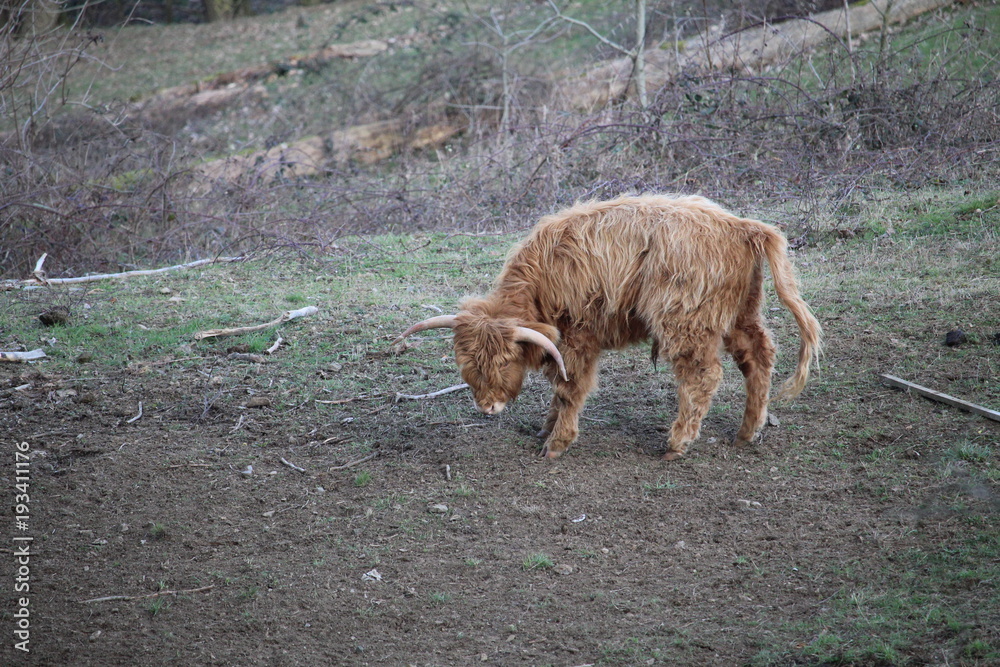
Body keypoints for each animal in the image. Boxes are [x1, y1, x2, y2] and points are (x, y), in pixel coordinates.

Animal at [394, 194, 821, 460]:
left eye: (503, 362)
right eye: (467, 364)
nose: (488, 407)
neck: (541, 283)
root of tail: (742, 226)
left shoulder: (579, 335)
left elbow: (569, 387)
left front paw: (556, 443)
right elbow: (559, 386)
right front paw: (545, 428)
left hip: (687, 321)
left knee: (702, 375)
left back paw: (677, 443)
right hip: (738, 313)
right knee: (758, 357)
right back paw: (747, 432)